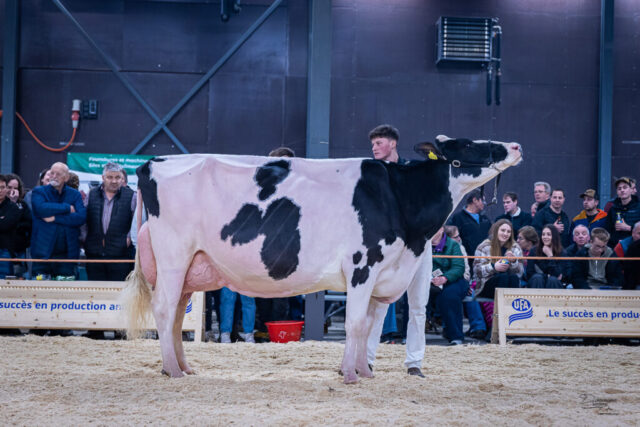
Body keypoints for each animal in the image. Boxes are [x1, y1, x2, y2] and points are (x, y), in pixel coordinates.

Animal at [122, 135, 523, 384]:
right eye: (469, 144)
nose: (516, 145)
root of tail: (151, 164)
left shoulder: (384, 274)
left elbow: (370, 326)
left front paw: (366, 372)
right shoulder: (362, 265)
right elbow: (356, 325)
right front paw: (349, 375)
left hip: (192, 266)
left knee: (177, 314)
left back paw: (183, 367)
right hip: (174, 256)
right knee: (164, 309)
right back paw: (173, 371)